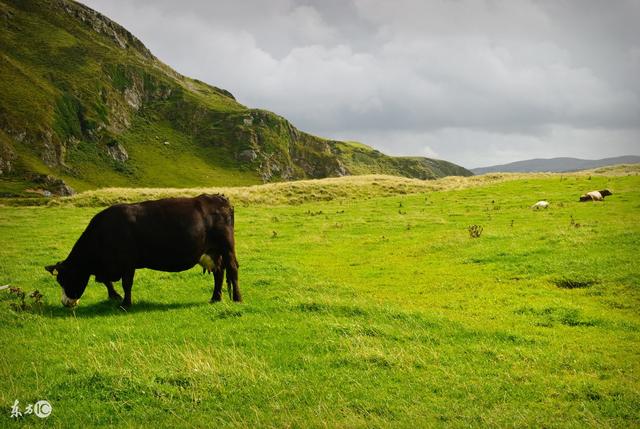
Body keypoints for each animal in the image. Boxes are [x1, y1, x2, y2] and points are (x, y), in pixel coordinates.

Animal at [44, 194, 240, 308]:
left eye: (63, 279)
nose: (65, 303)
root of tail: (219, 197)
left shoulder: (127, 263)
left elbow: (126, 283)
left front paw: (125, 303)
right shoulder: (110, 265)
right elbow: (106, 281)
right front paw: (114, 296)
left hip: (227, 247)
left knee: (232, 268)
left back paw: (237, 298)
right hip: (213, 251)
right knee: (219, 272)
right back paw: (215, 298)